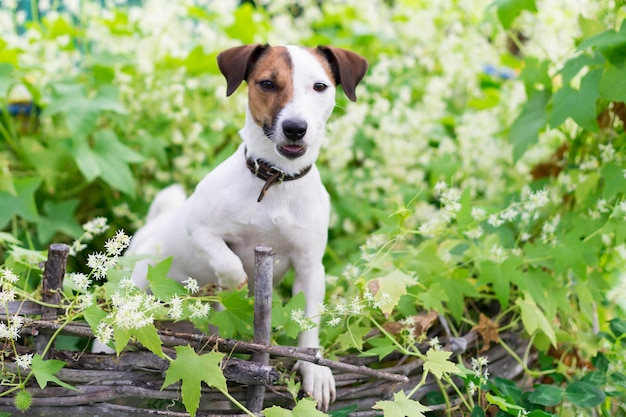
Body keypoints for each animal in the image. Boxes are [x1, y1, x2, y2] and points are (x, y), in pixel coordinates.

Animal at [125, 44, 366, 408]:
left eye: (320, 86)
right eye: (267, 83)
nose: (295, 128)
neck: (276, 181)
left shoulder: (311, 266)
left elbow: (310, 320)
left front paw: (315, 370)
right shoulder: (199, 229)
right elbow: (228, 262)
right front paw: (235, 285)